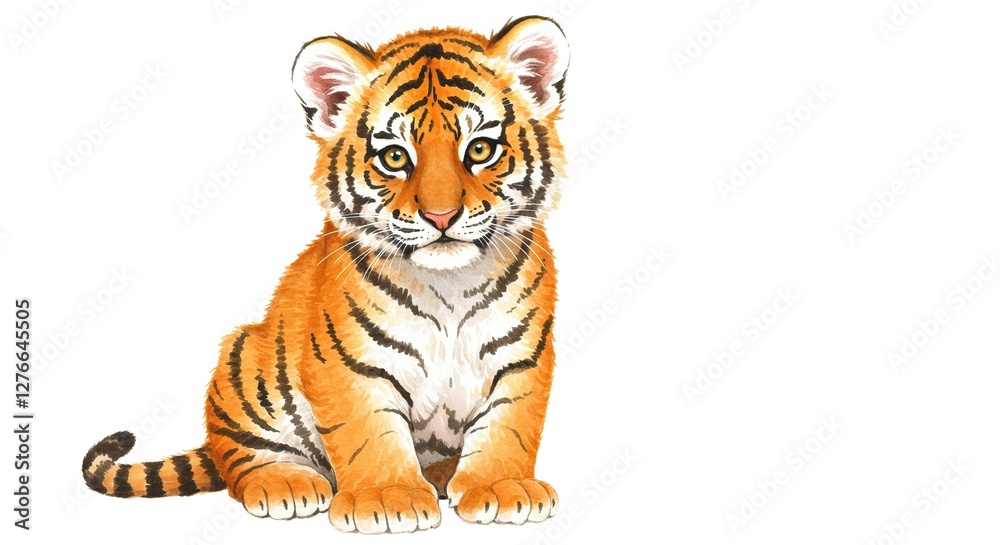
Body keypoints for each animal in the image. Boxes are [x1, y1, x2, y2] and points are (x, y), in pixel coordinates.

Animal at [81, 15, 569, 534]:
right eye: (395, 158)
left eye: (480, 149)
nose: (441, 216)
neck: (448, 285)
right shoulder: (350, 364)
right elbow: (368, 432)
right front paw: (387, 497)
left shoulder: (522, 357)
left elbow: (510, 426)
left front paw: (502, 487)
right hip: (244, 361)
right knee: (240, 459)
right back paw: (285, 483)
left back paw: (440, 474)